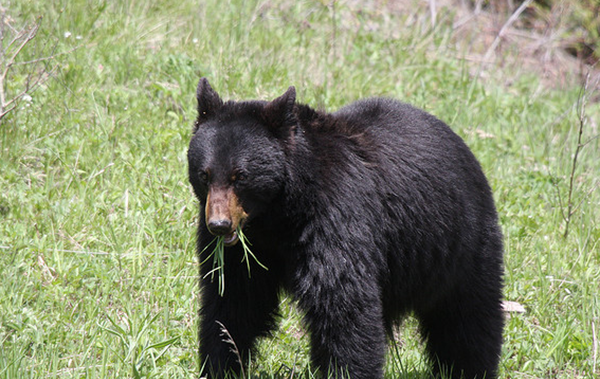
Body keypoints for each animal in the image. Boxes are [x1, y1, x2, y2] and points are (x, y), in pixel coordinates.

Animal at [189, 78, 506, 379]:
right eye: (204, 175)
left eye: (240, 176)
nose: (219, 225)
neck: (278, 216)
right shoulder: (248, 249)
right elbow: (232, 302)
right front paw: (219, 365)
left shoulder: (336, 219)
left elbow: (343, 304)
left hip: (460, 244)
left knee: (467, 318)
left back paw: (470, 368)